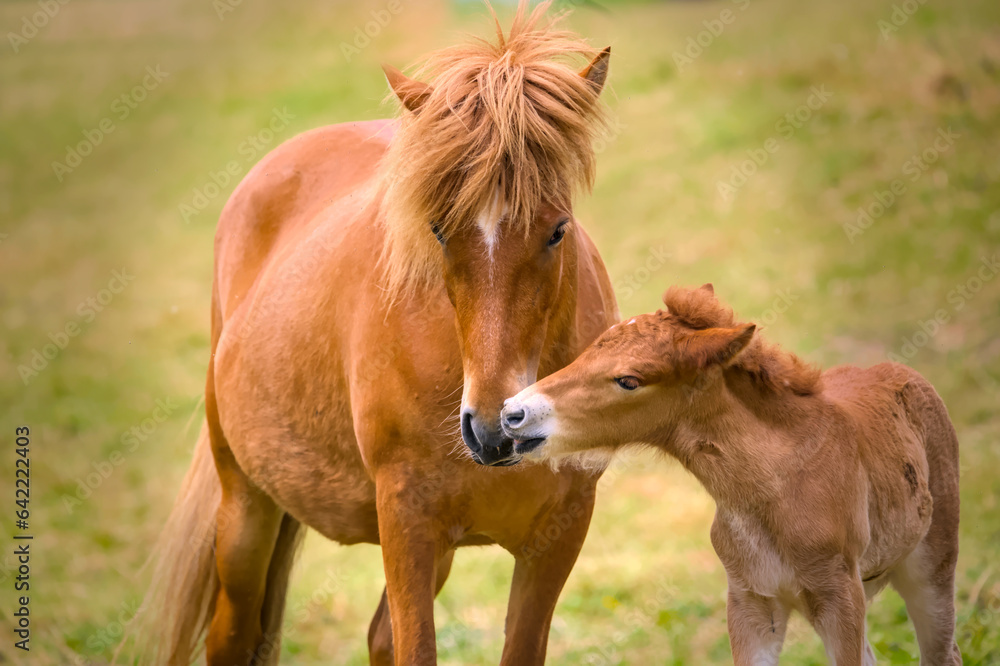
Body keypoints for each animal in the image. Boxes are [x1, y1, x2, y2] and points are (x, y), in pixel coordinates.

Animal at [133, 4, 620, 665]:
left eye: (557, 230)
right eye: (438, 230)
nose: (495, 430)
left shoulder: (560, 532)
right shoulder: (407, 521)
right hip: (246, 507)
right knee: (232, 633)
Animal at [501, 284, 962, 666]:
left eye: (629, 380)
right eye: (589, 350)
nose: (512, 413)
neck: (771, 489)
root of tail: (904, 373)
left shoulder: (839, 599)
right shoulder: (750, 602)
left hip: (932, 568)